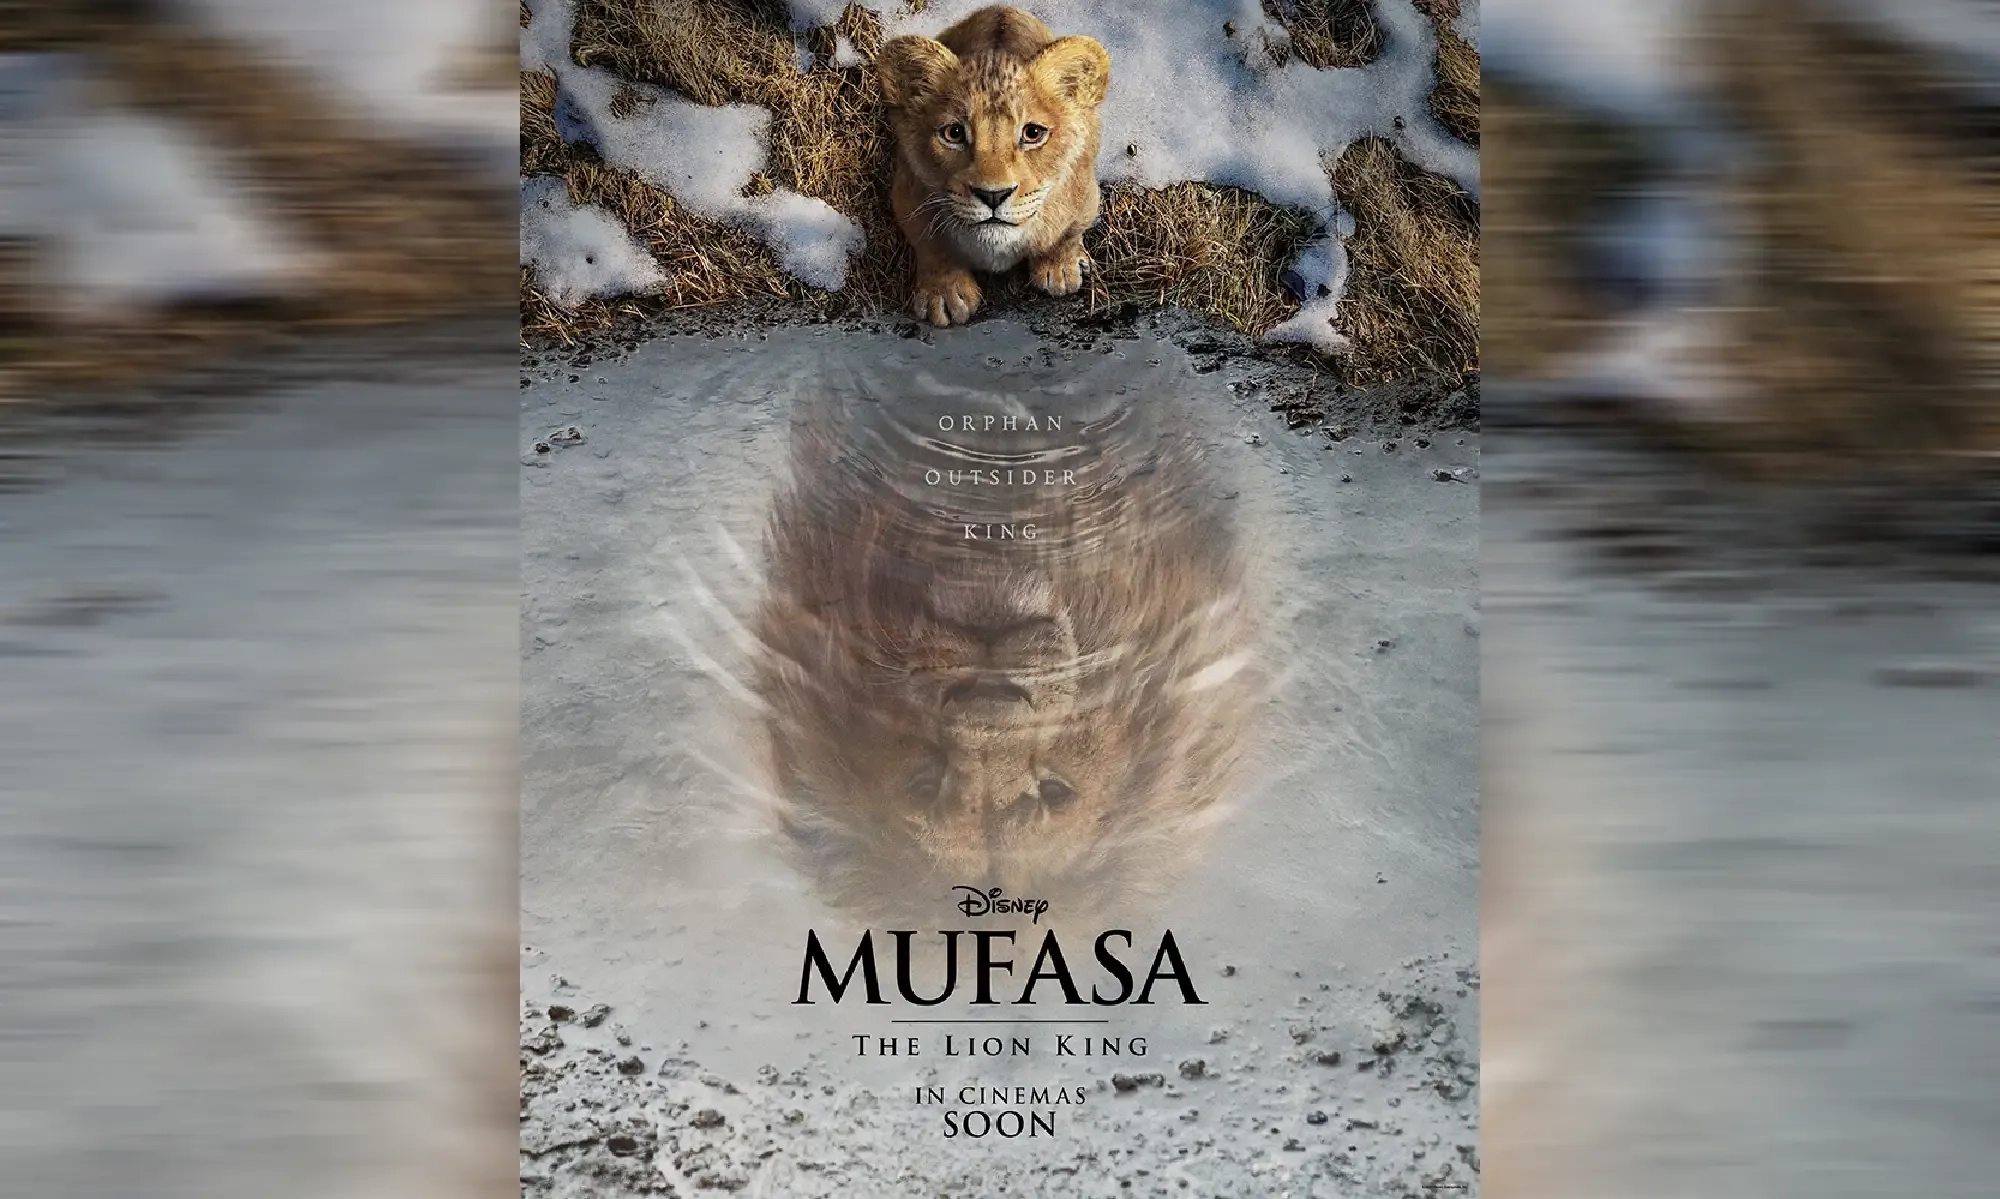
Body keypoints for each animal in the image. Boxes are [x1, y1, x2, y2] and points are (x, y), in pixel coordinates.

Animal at [876, 5, 1111, 328]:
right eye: (954, 133)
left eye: (1033, 133)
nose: (993, 195)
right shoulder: (907, 193)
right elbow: (932, 246)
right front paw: (945, 295)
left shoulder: (1085, 193)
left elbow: (1067, 233)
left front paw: (1060, 269)